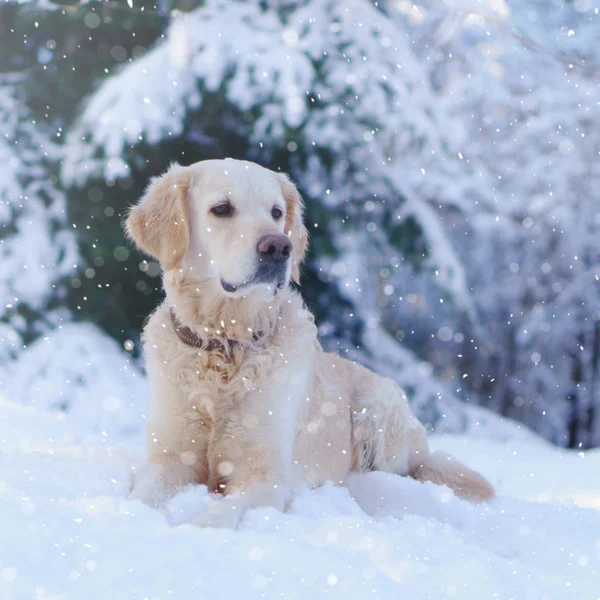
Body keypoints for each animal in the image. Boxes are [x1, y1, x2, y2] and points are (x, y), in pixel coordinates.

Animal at [125, 158, 492, 524]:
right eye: (222, 208)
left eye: (276, 212)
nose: (278, 247)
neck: (226, 345)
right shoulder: (171, 457)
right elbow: (144, 495)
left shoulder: (266, 477)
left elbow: (218, 515)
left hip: (378, 411)